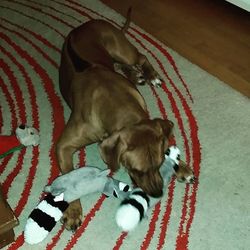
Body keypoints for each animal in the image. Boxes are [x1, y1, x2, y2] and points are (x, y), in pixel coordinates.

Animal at [56, 10, 193, 231]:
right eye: (136, 170)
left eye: (160, 163)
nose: (157, 193)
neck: (114, 99)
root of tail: (85, 25)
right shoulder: (63, 146)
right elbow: (68, 178)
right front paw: (73, 210)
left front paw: (183, 167)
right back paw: (136, 75)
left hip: (121, 49)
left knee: (140, 57)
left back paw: (149, 75)